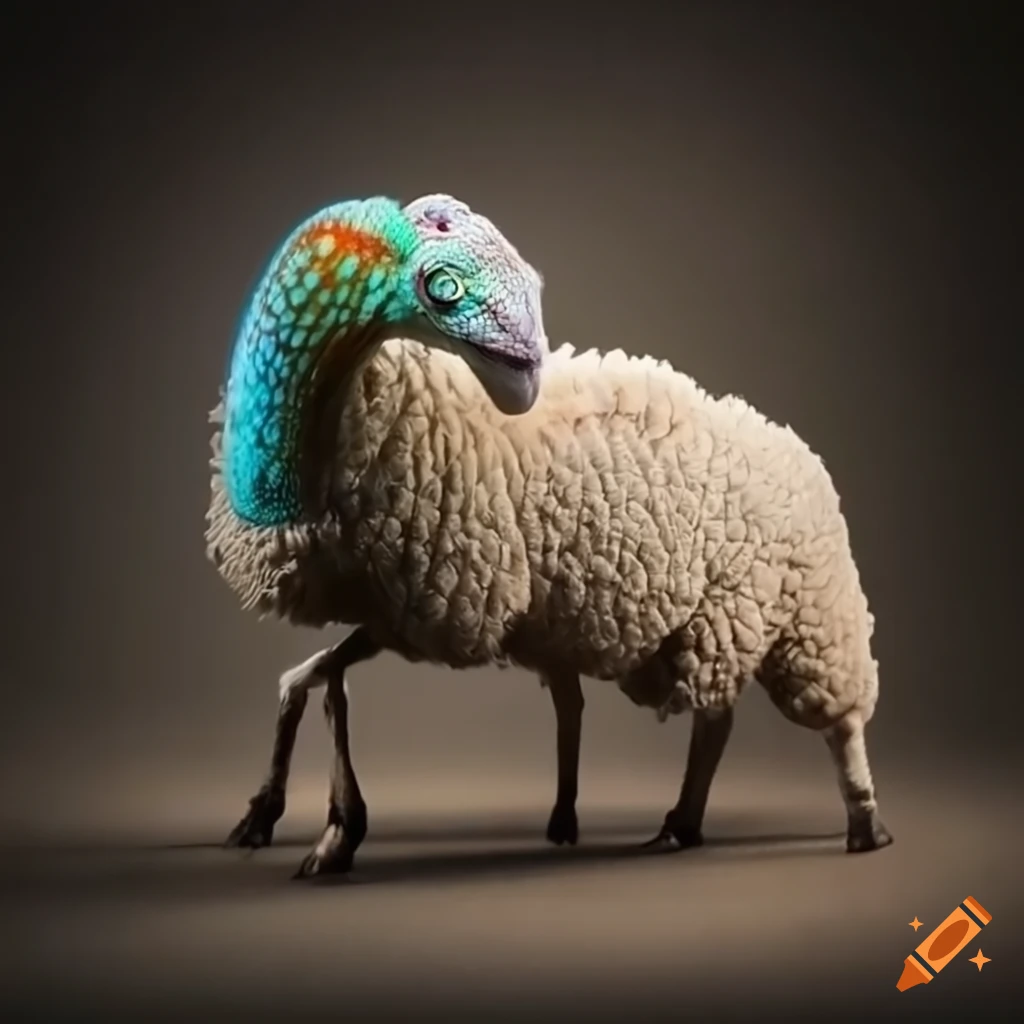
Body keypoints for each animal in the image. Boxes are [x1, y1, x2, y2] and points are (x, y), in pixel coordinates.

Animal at [209, 193, 894, 878]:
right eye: (442, 289)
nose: (527, 373)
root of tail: (802, 455)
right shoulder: (397, 606)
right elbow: (304, 680)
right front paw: (265, 817)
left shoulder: (434, 607)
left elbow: (327, 684)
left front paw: (336, 833)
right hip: (716, 620)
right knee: (715, 718)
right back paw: (676, 826)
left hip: (807, 616)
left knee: (836, 720)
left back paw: (865, 826)